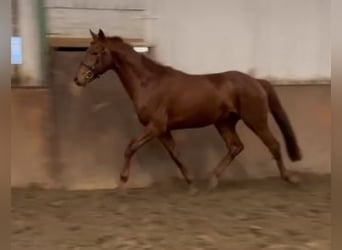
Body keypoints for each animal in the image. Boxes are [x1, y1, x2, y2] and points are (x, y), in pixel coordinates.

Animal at [73, 28, 302, 189]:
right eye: (87, 50)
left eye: (95, 52)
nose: (78, 79)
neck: (148, 83)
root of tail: (256, 81)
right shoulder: (163, 130)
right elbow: (176, 154)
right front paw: (191, 184)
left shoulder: (155, 126)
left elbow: (130, 147)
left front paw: (121, 182)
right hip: (224, 122)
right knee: (235, 147)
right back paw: (212, 180)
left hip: (255, 119)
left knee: (273, 145)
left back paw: (289, 178)